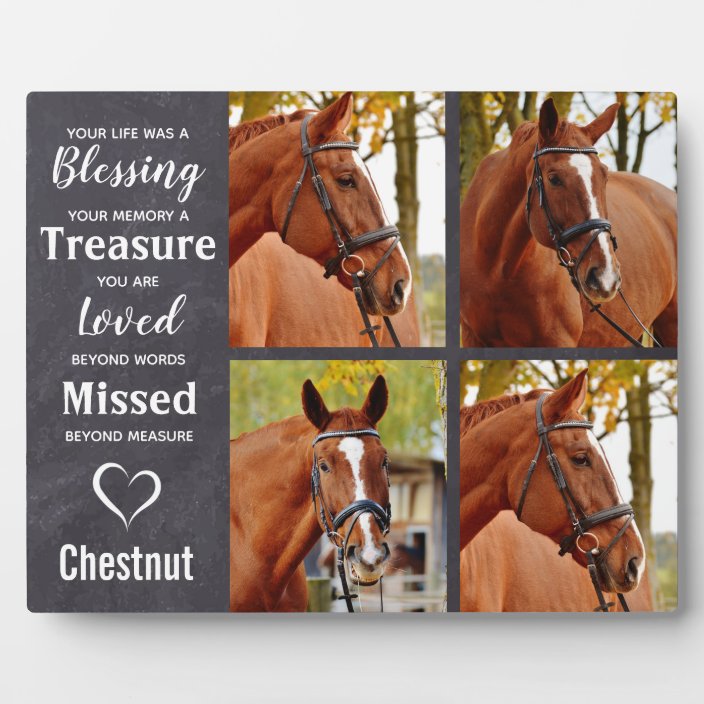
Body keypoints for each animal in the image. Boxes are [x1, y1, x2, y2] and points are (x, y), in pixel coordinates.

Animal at [460, 98, 677, 347]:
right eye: (554, 179)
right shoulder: (472, 336)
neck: (497, 269)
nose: (605, 277)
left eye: (604, 176)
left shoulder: (558, 339)